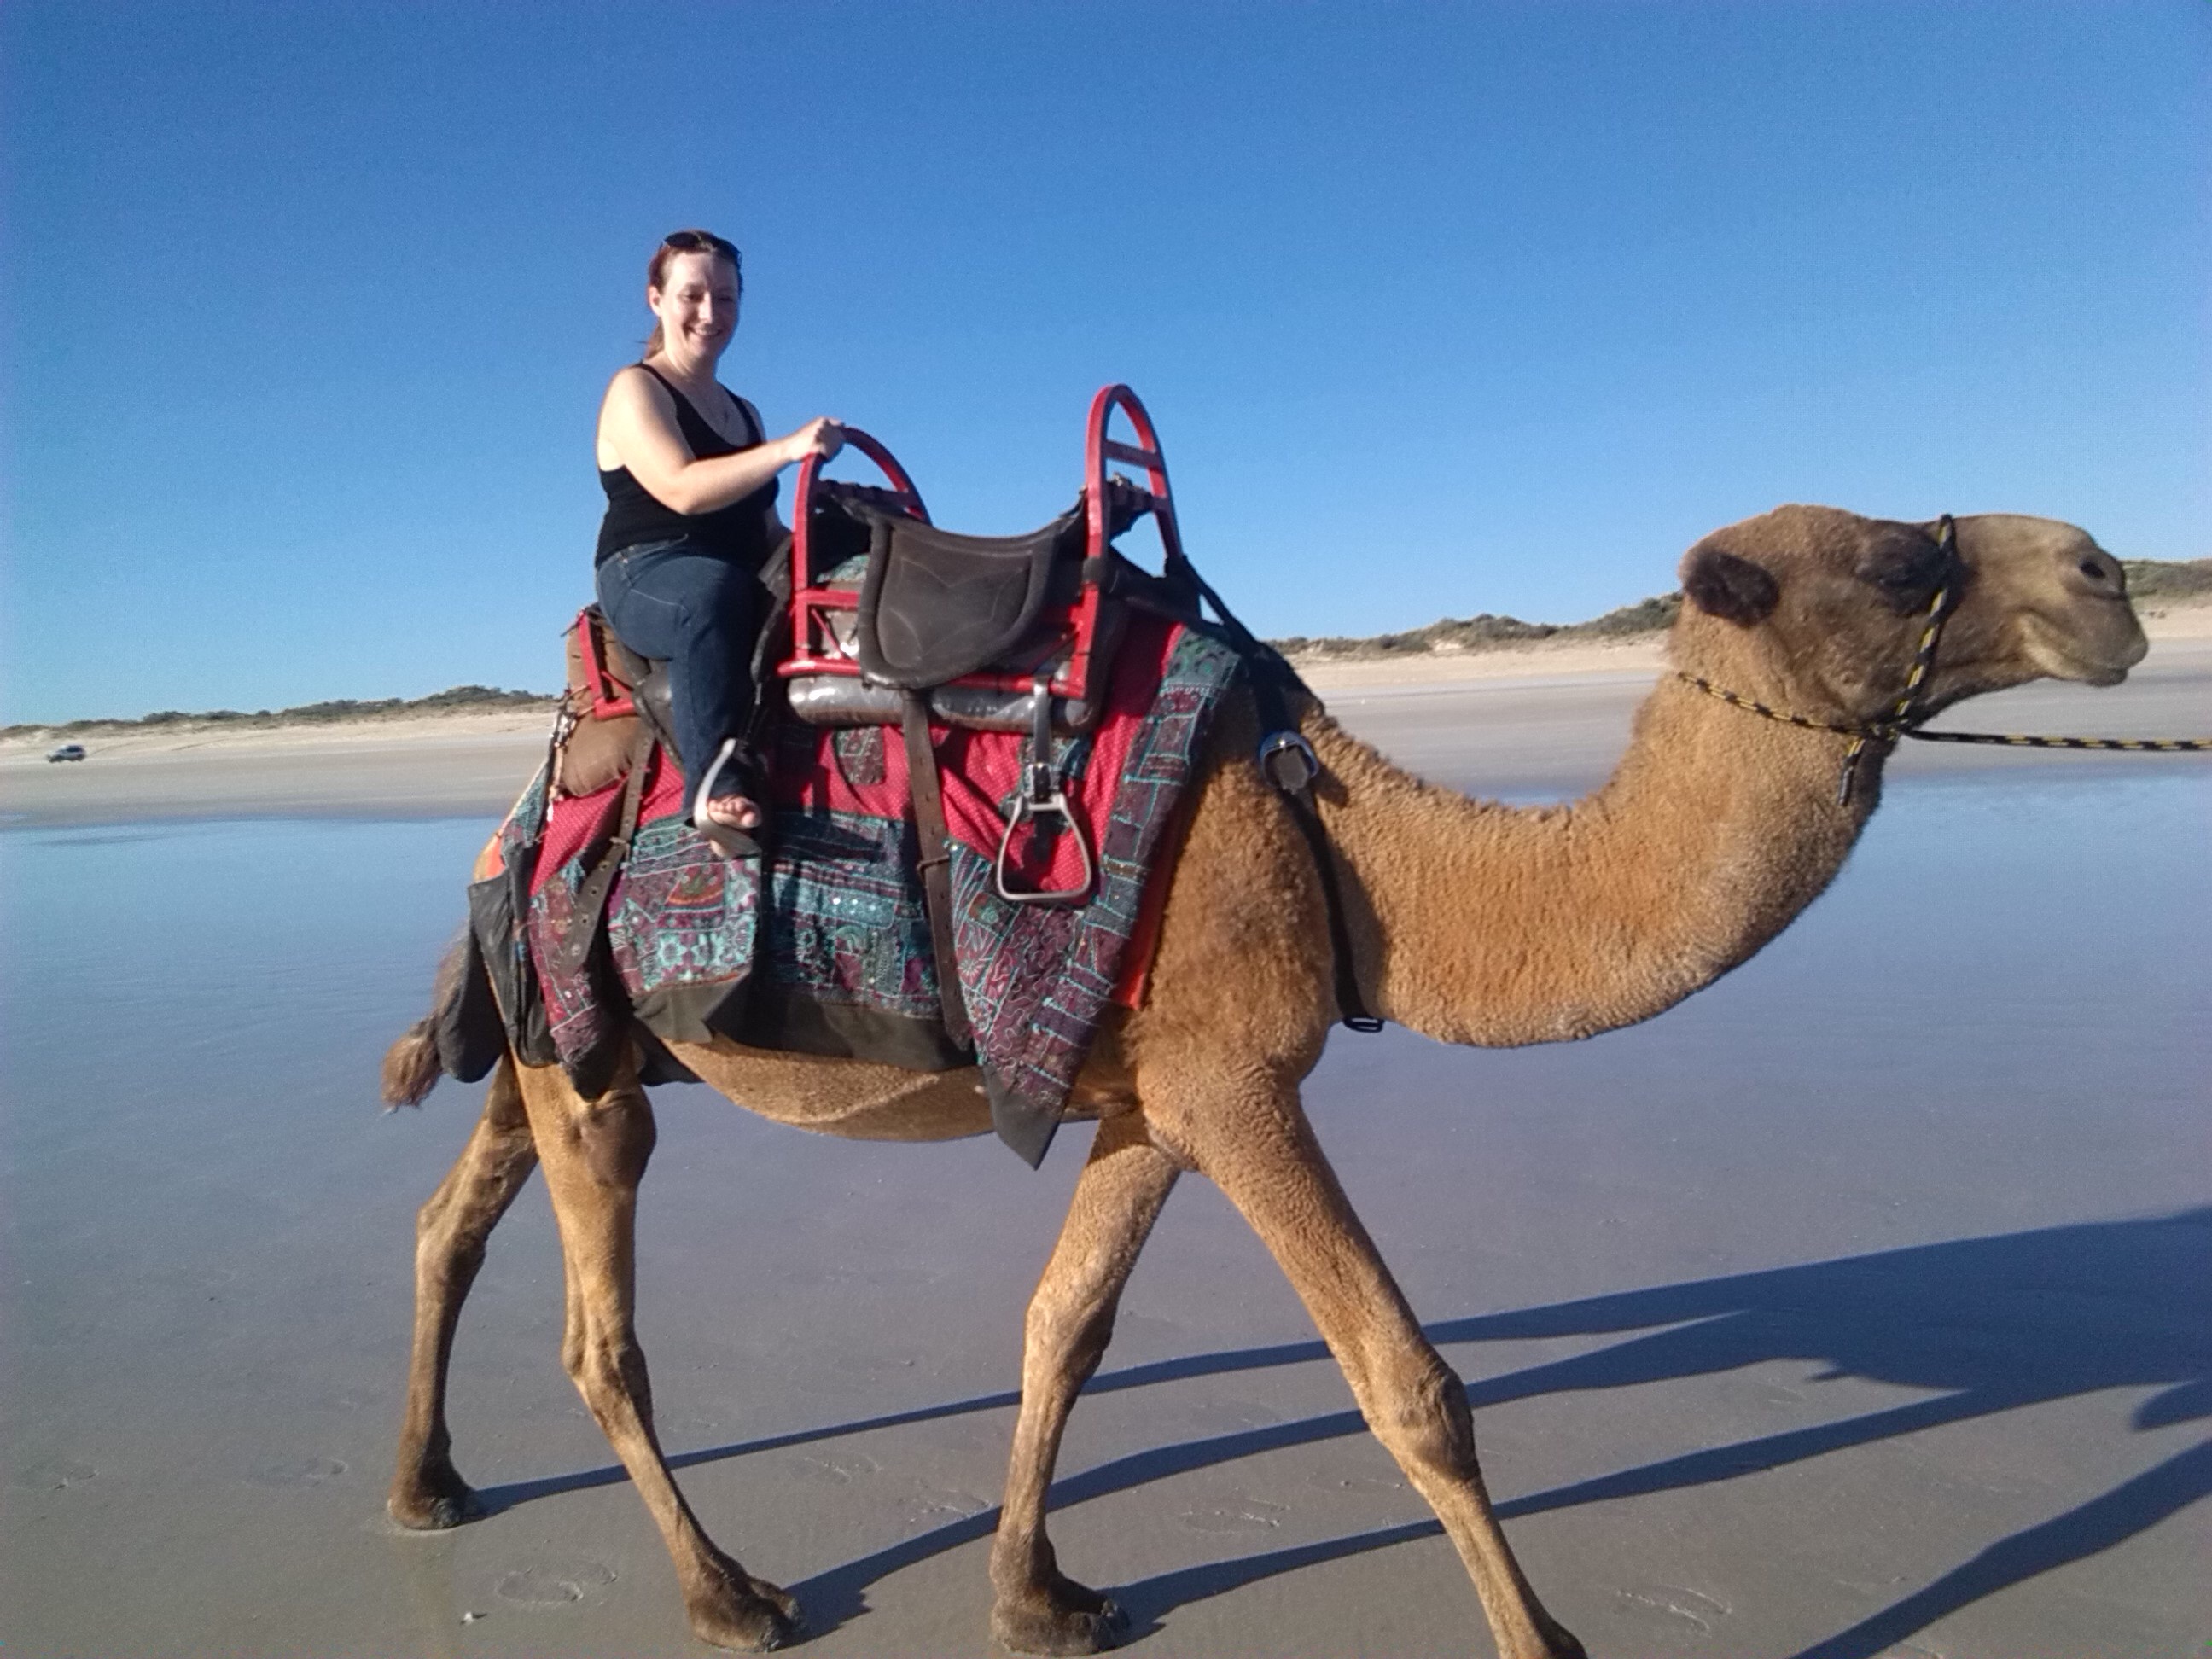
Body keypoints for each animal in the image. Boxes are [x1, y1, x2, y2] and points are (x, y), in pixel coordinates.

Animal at [380, 504, 2147, 1658]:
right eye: (1902, 558)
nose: (2107, 570)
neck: (1338, 839)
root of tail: (541, 773)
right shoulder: (1240, 1087)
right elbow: (1410, 1383)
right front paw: (1544, 1640)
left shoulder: (1154, 1098)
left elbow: (1064, 1327)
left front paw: (1037, 1595)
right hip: (588, 1055)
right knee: (599, 1337)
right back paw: (727, 1592)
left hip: (556, 1038)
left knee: (448, 1219)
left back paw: (425, 1483)